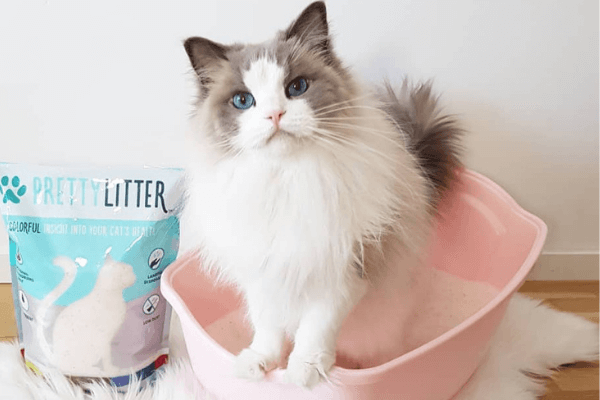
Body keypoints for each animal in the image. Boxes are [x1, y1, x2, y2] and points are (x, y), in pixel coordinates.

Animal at [182, 1, 462, 388]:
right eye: (243, 100)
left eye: (296, 87)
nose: (275, 114)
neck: (285, 181)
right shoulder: (262, 272)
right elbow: (267, 328)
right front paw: (259, 364)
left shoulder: (342, 271)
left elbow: (315, 330)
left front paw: (302, 372)